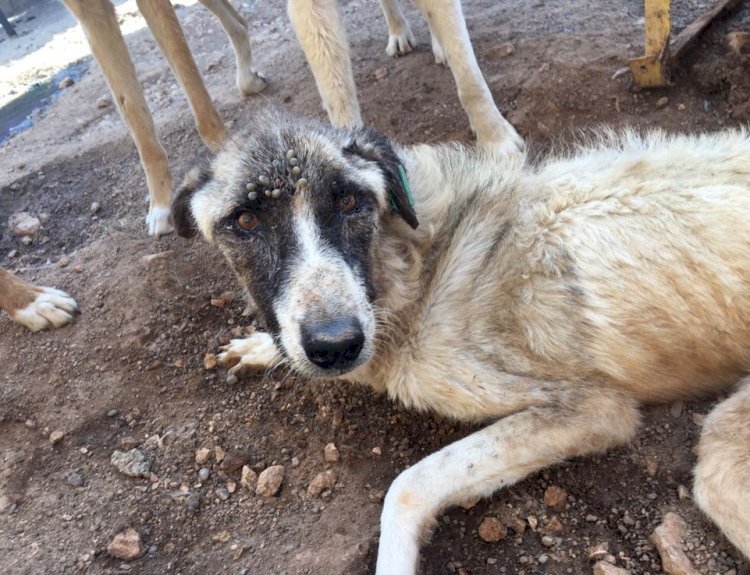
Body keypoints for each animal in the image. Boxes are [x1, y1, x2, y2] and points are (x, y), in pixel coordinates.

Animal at [170, 109, 750, 572]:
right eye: (245, 219)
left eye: (350, 200)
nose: (336, 345)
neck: (415, 260)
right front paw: (260, 347)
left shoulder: (594, 409)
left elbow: (408, 485)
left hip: (721, 450)